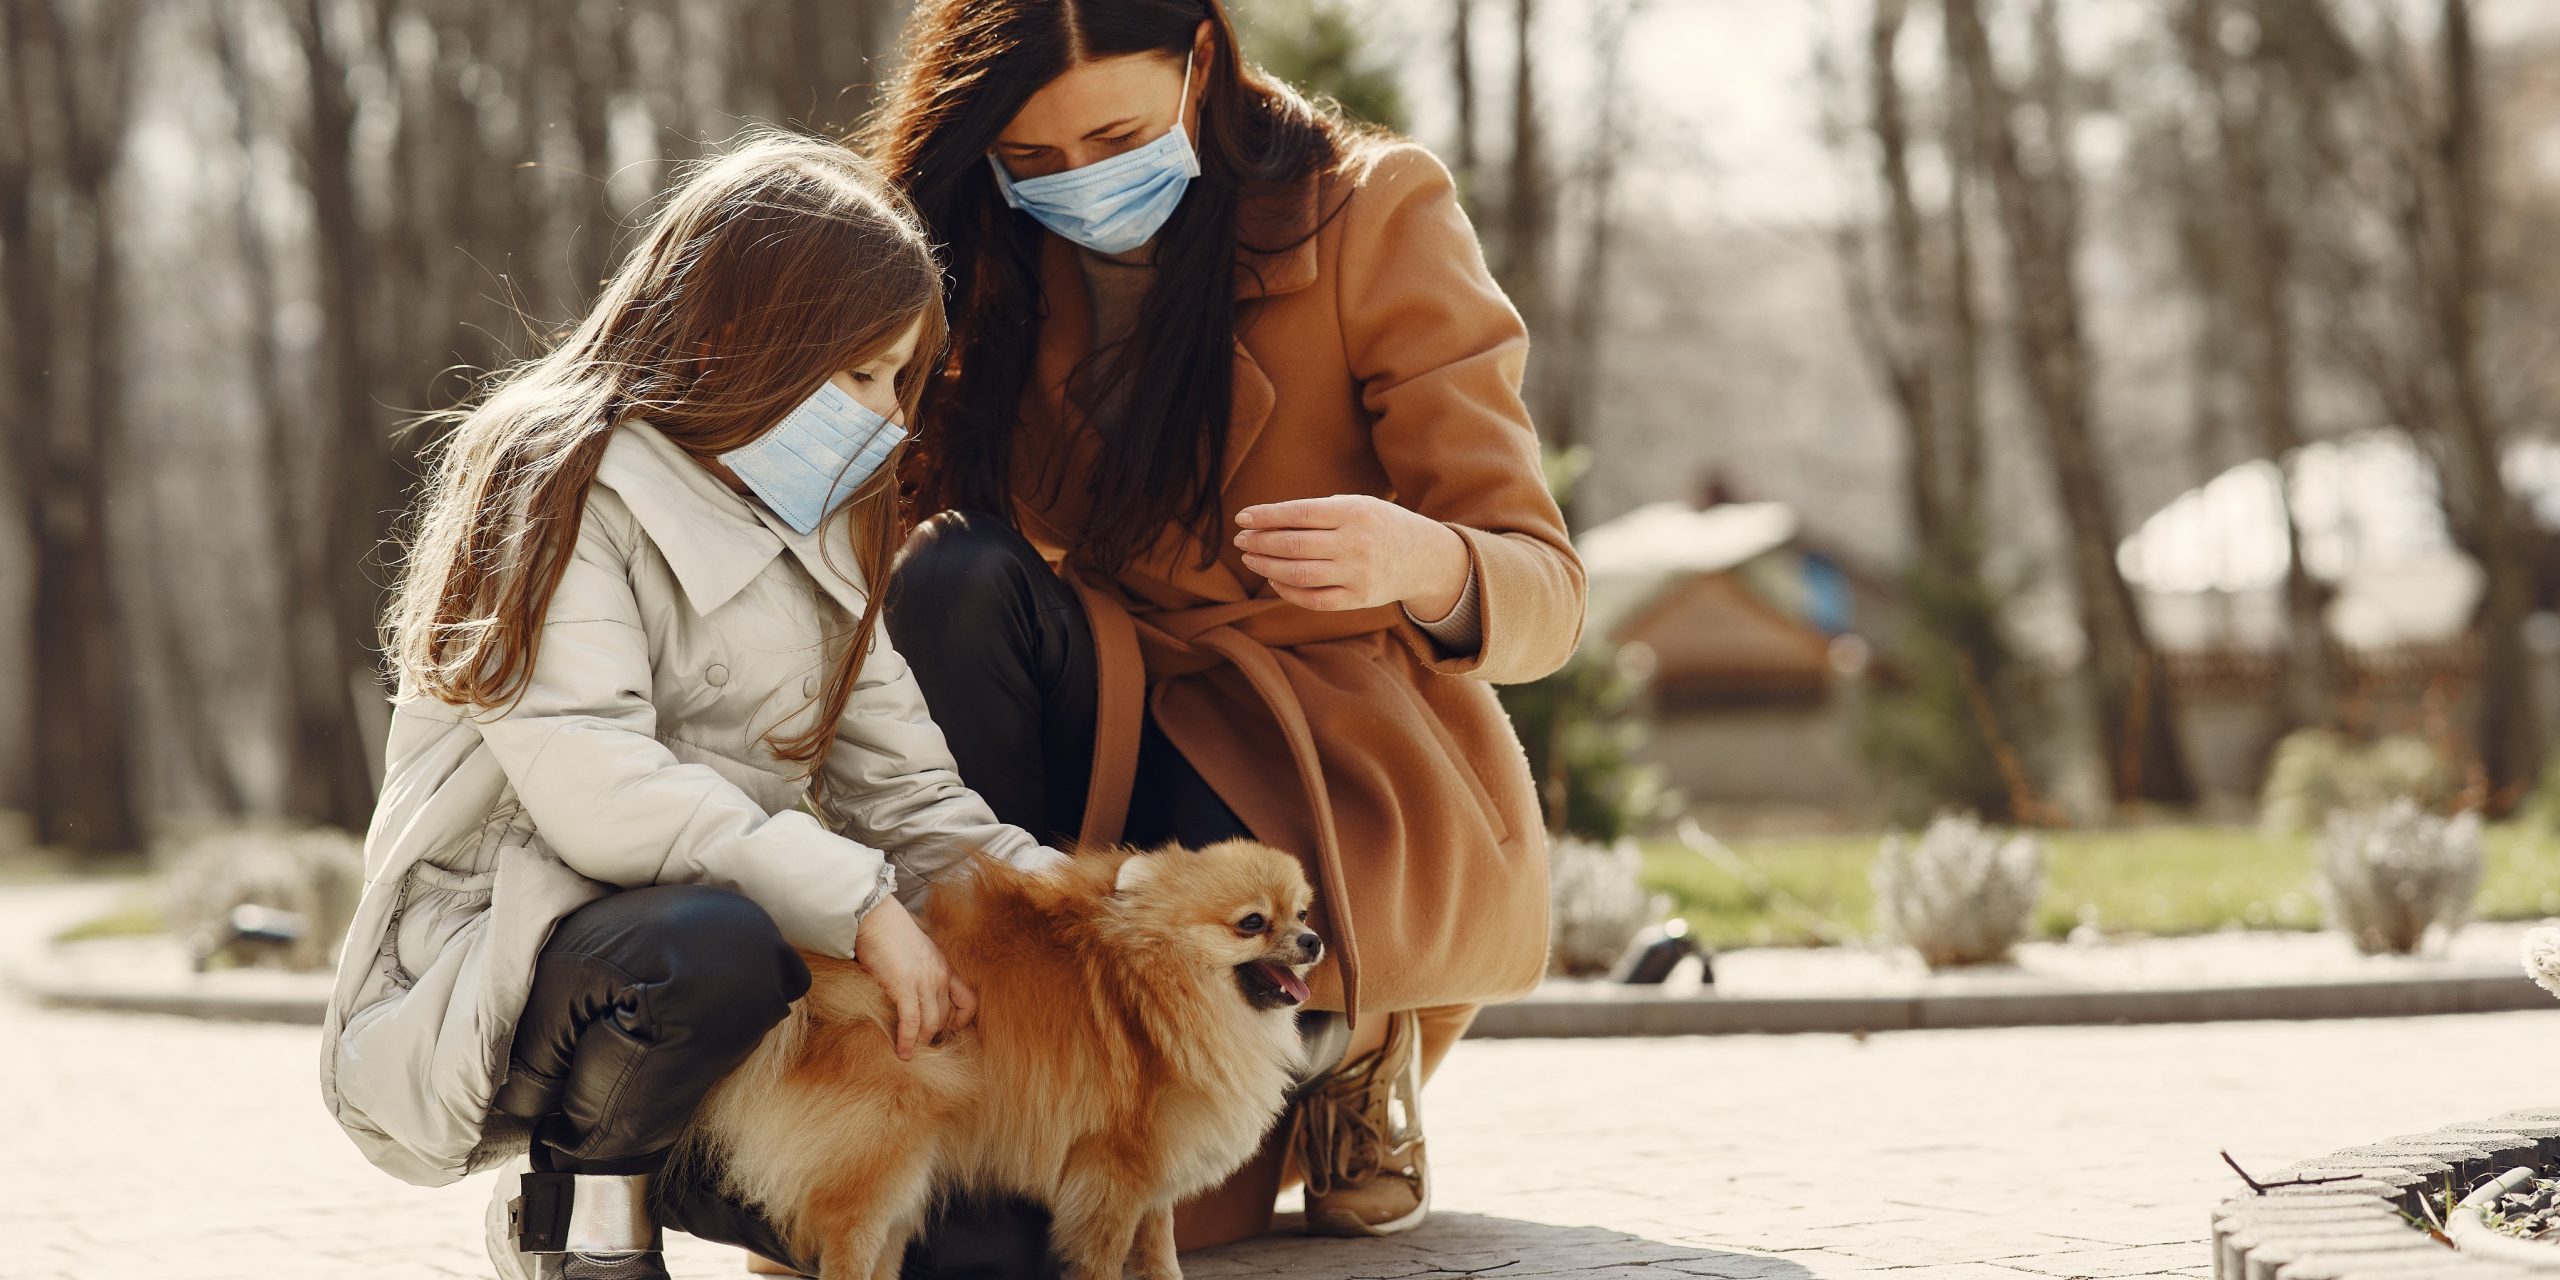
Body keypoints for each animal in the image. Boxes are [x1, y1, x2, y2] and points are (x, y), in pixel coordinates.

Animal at [665, 839, 1320, 1280]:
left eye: (1303, 913)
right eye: (1252, 923)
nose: (1314, 941)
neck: (1163, 979)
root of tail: (822, 986)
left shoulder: (1158, 1168)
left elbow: (1161, 1250)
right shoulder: (1113, 1171)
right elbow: (1106, 1256)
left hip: (904, 1173)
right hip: (879, 1156)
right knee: (849, 1246)